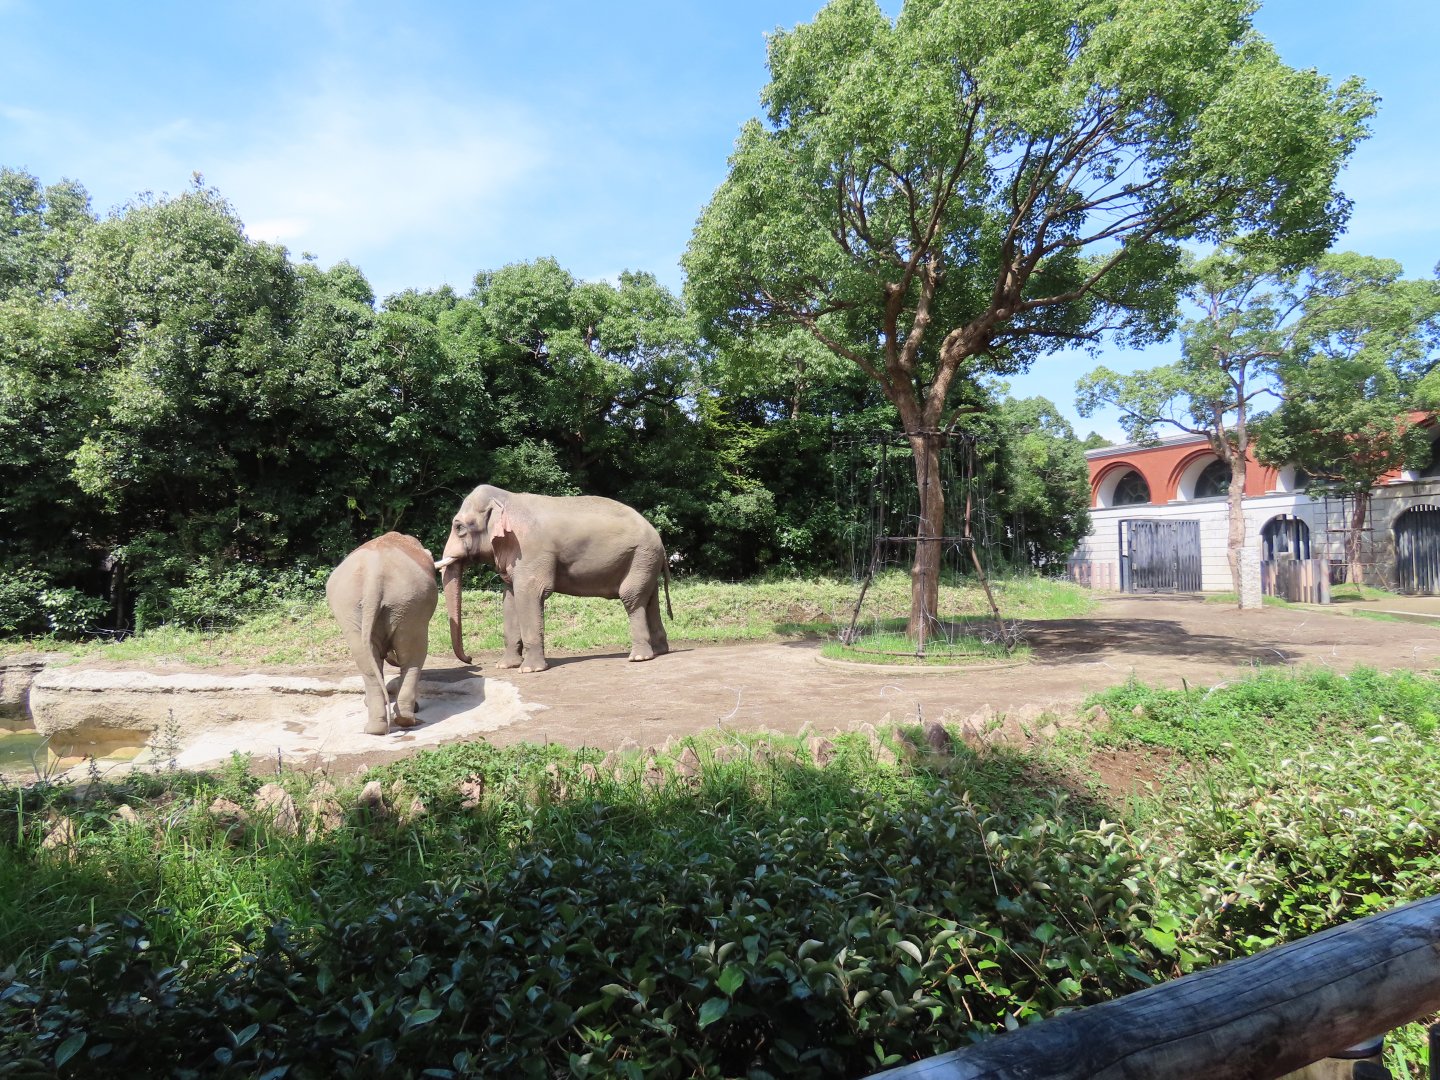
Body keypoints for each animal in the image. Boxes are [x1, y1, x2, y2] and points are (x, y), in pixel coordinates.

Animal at [326, 532, 439, 735]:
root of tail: (374, 577)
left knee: (367, 660)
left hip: (373, 605)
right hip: (405, 602)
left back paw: (379, 728)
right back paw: (402, 720)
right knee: (413, 655)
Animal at [436, 484, 672, 672]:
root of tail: (660, 541)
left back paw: (639, 657)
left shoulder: (530, 550)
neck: (506, 499)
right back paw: (659, 651)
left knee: (632, 598)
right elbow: (510, 598)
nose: (471, 659)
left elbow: (530, 594)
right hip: (646, 560)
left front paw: (529, 670)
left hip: (642, 554)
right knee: (650, 599)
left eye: (459, 527)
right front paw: (505, 666)